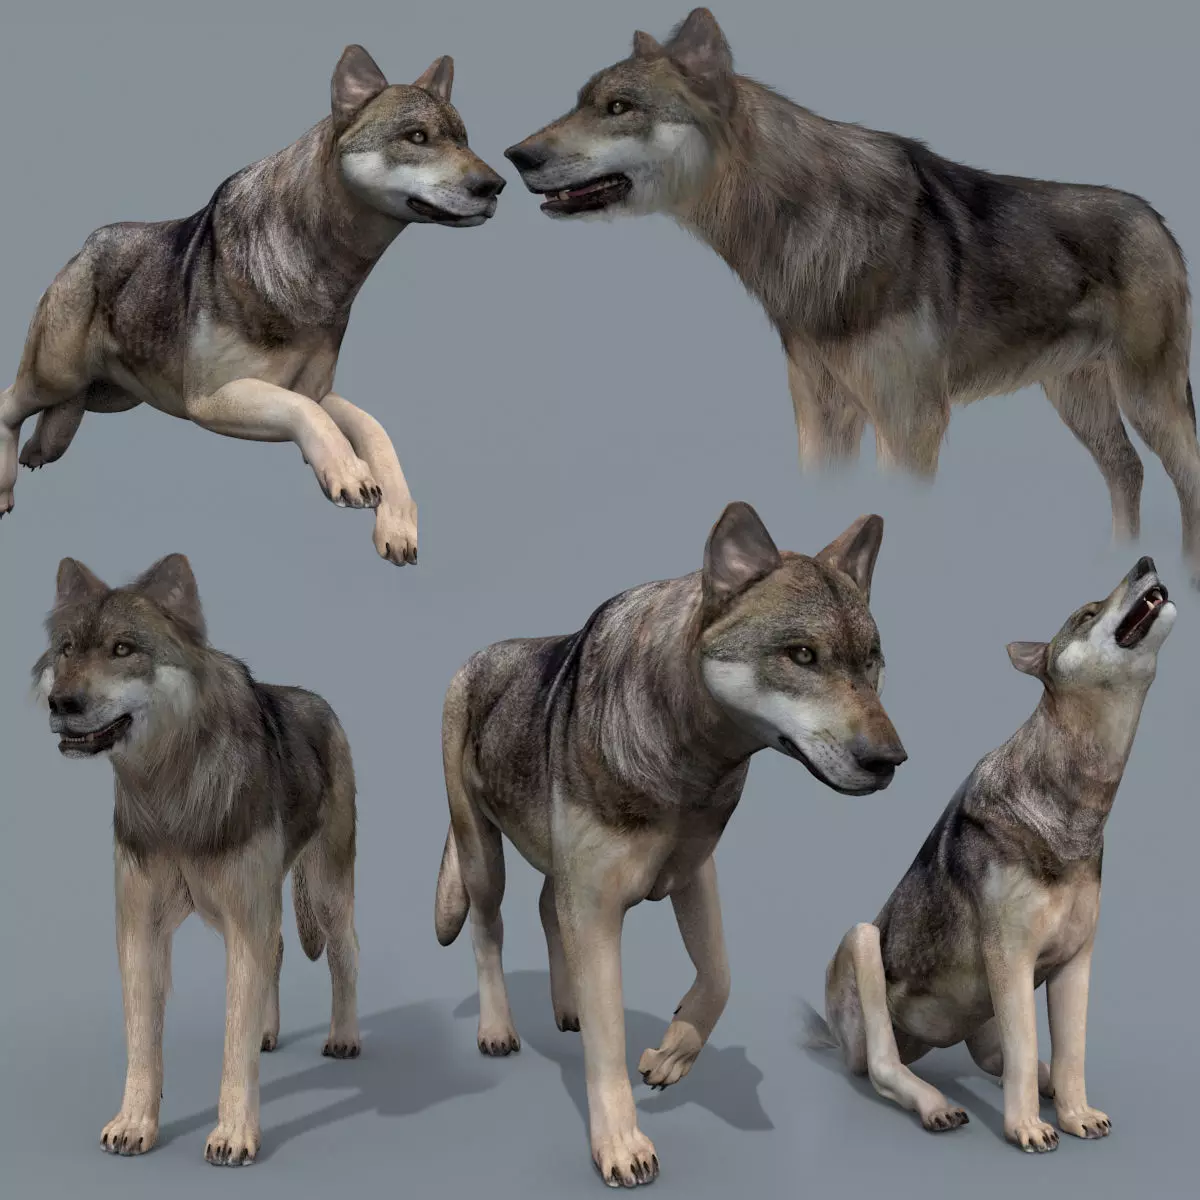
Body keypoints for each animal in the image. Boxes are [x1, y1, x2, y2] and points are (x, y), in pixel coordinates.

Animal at [0, 44, 506, 567]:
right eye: (417, 137)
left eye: (464, 140)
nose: (496, 186)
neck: (317, 276)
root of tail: (87, 243)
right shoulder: (214, 400)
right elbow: (308, 415)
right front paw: (349, 473)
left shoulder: (317, 391)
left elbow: (374, 429)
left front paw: (397, 522)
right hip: (56, 376)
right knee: (8, 404)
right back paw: (5, 487)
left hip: (111, 396)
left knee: (57, 419)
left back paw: (40, 450)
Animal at [33, 553, 360, 1166]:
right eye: (66, 649)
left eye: (122, 649)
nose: (61, 704)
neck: (171, 792)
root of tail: (319, 702)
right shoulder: (140, 929)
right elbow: (143, 1040)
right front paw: (134, 1124)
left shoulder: (244, 920)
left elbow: (234, 1042)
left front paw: (233, 1135)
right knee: (281, 949)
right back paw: (269, 1032)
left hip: (327, 891)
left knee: (344, 952)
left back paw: (345, 1037)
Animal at [434, 501, 906, 1187]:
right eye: (802, 654)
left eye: (871, 661)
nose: (891, 761)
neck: (691, 764)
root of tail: (476, 655)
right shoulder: (598, 904)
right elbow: (607, 1035)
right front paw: (621, 1145)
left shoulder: (693, 874)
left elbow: (720, 977)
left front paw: (673, 1055)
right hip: (481, 858)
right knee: (488, 927)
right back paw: (498, 1027)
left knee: (547, 908)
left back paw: (566, 1005)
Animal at [505, 8, 1200, 583]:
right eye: (583, 103)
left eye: (619, 107)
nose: (515, 156)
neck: (804, 226)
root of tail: (1155, 217)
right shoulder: (822, 412)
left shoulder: (909, 421)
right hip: (1077, 398)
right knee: (1127, 468)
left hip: (1146, 396)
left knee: (1183, 472)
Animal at [804, 556, 1174, 1152]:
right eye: (1087, 613)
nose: (1146, 562)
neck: (1073, 810)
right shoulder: (1011, 958)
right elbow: (1027, 1051)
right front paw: (1027, 1128)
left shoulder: (1075, 962)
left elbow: (1069, 1056)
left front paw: (1076, 1115)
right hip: (863, 940)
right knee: (884, 1066)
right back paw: (936, 1105)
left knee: (1001, 1060)